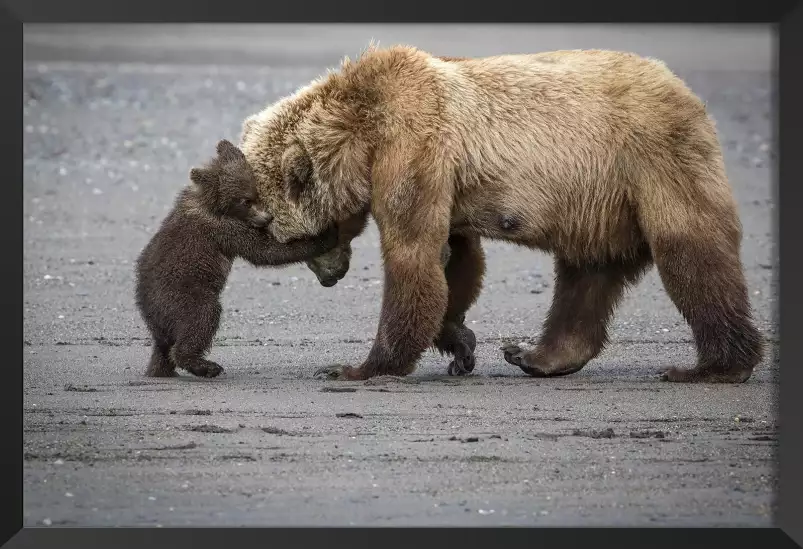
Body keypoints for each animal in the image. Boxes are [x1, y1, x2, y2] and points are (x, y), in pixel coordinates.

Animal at [240, 45, 768, 384]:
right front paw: (459, 343)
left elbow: (414, 257)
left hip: (651, 160)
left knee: (691, 253)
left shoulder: (414, 145)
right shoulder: (443, 176)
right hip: (598, 202)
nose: (329, 278)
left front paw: (357, 367)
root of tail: (684, 90)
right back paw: (538, 355)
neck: (361, 131)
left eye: (288, 237)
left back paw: (713, 367)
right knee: (586, 274)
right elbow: (455, 260)